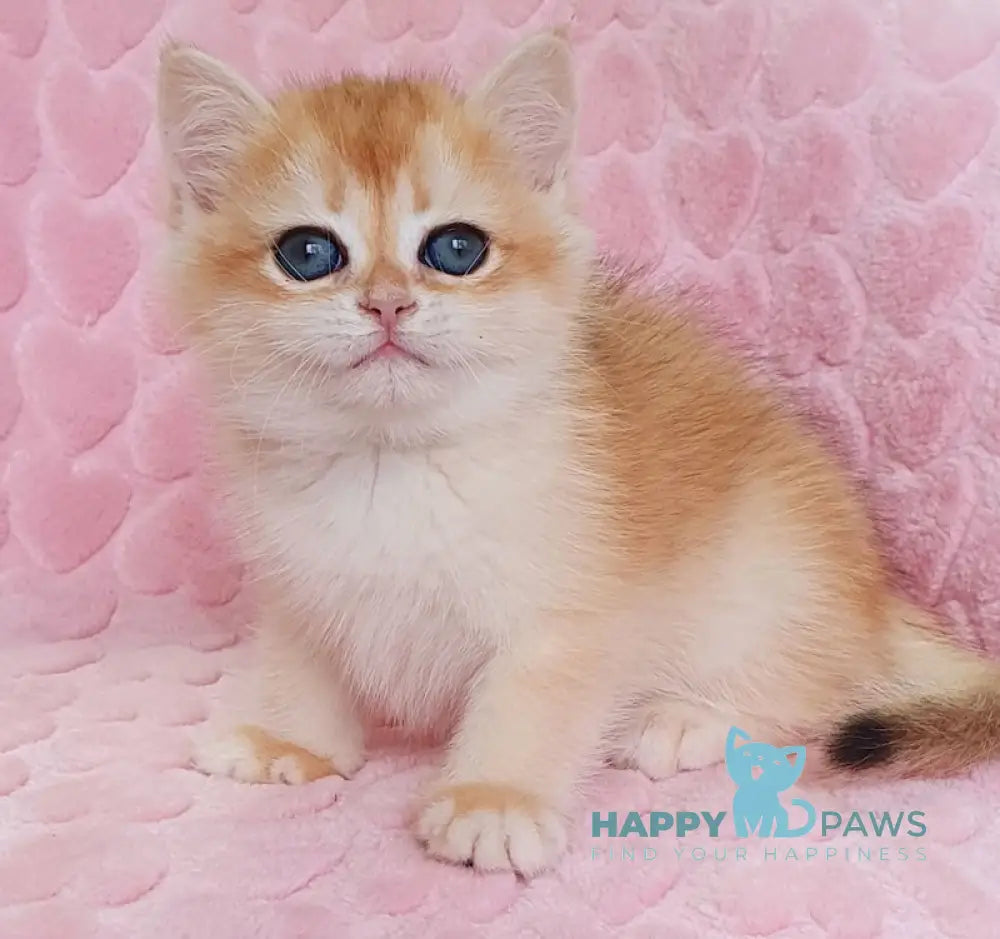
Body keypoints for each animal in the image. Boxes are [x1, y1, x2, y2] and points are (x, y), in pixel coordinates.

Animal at [156, 33, 1000, 876]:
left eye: (456, 248)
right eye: (307, 254)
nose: (388, 303)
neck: (392, 458)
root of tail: (875, 600)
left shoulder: (569, 610)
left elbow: (530, 701)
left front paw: (492, 799)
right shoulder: (297, 584)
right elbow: (302, 663)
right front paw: (289, 739)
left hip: (772, 577)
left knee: (818, 689)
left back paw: (685, 717)